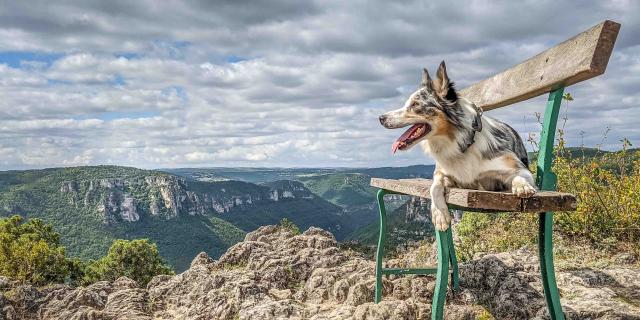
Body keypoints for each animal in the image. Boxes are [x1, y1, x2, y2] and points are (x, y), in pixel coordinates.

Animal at [378, 60, 536, 230]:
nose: (381, 118)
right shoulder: (444, 173)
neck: (463, 145)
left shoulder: (514, 169)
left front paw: (522, 186)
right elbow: (435, 186)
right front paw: (439, 214)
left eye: (415, 104)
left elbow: (520, 175)